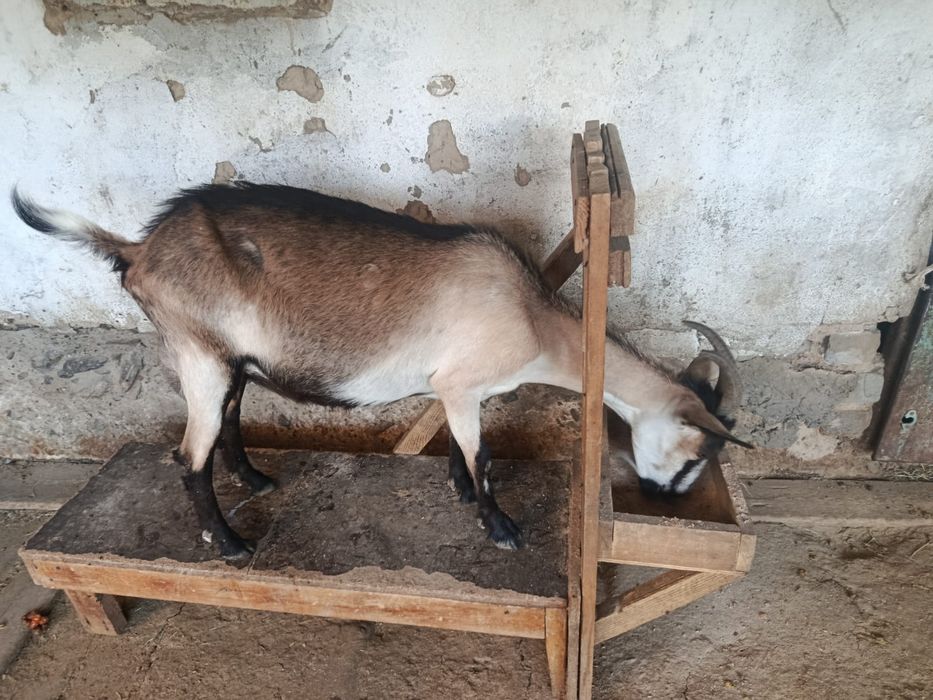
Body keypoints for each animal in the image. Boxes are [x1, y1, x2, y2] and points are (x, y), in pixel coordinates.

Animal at [11, 183, 751, 561]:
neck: (535, 321)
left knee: (229, 418)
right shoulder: (461, 384)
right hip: (197, 356)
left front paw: (460, 491)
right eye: (697, 454)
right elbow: (482, 454)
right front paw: (502, 528)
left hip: (228, 359)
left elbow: (460, 445)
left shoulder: (456, 389)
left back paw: (256, 479)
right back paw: (230, 545)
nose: (662, 499)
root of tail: (139, 251)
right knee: (188, 455)